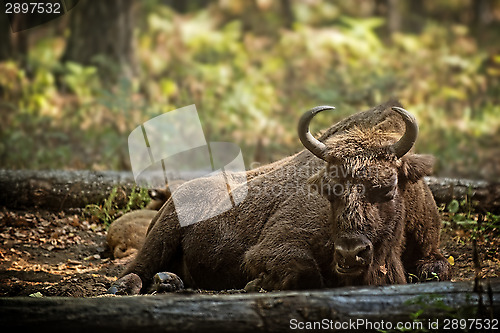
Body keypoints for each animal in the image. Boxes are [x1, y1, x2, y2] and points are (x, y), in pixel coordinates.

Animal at [108, 99, 450, 294]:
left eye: (388, 188)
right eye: (327, 189)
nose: (350, 253)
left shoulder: (431, 249)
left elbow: (436, 270)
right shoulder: (274, 246)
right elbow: (305, 272)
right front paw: (255, 284)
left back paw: (170, 281)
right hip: (162, 235)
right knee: (136, 268)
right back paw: (128, 286)